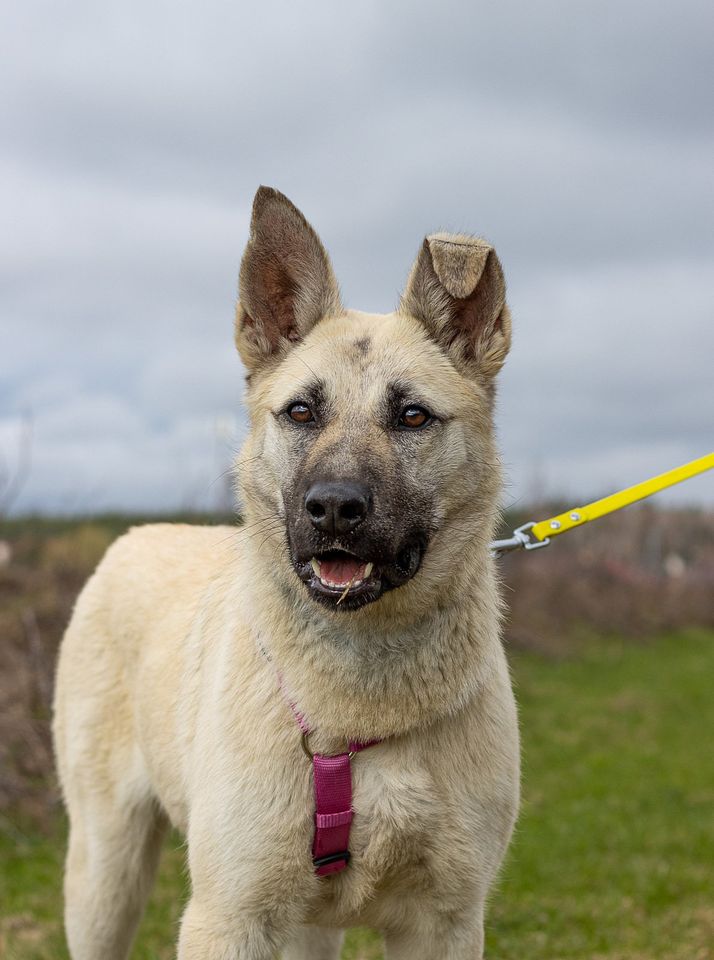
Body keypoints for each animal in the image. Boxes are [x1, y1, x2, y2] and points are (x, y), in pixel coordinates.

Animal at [50, 189, 516, 960]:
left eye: (412, 416)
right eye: (301, 410)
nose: (332, 508)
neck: (359, 699)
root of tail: (135, 536)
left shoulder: (444, 920)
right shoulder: (229, 916)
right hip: (103, 873)